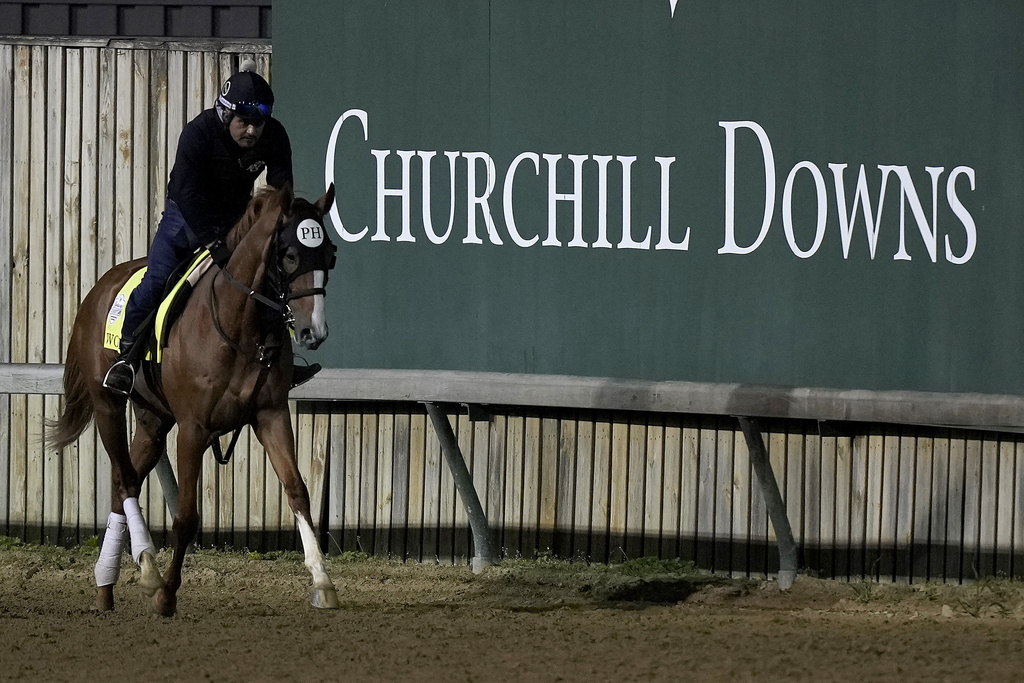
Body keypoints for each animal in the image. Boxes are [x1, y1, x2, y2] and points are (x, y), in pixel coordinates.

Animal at [46, 184, 342, 618]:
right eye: (289, 255)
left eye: (330, 256)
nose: (313, 331)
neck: (240, 326)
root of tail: (98, 289)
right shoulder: (193, 429)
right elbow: (185, 515)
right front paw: (167, 594)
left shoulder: (270, 415)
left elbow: (296, 489)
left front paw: (323, 582)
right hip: (107, 406)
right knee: (124, 479)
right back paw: (148, 570)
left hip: (152, 421)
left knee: (124, 482)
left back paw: (106, 585)